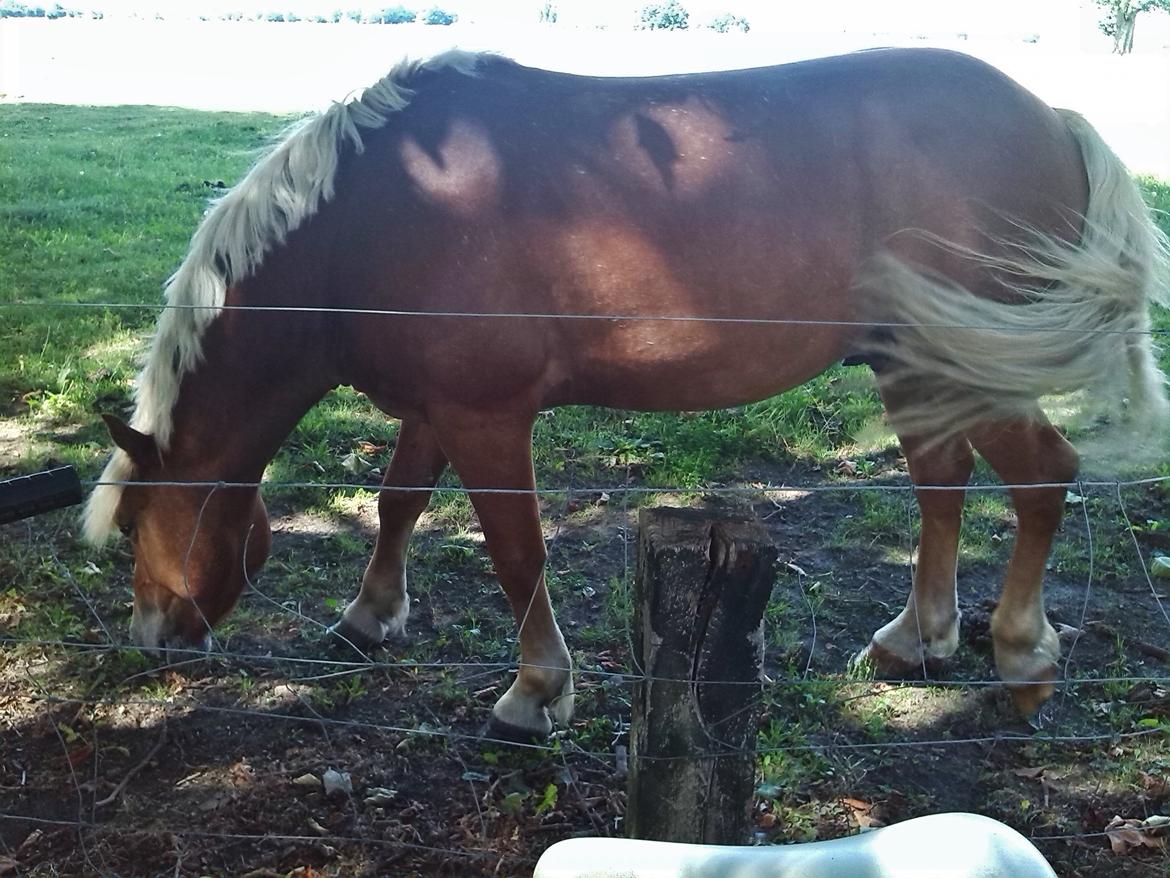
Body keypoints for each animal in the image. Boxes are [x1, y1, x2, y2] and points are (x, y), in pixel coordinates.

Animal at [77, 44, 1165, 739]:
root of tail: (1054, 118)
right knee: (944, 483)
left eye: (132, 528)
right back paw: (918, 639)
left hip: (966, 363)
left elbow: (517, 553)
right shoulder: (434, 406)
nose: (152, 642)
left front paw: (535, 692)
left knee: (1041, 476)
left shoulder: (487, 416)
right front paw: (369, 617)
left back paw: (1022, 657)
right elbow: (397, 503)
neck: (376, 214)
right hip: (912, 366)